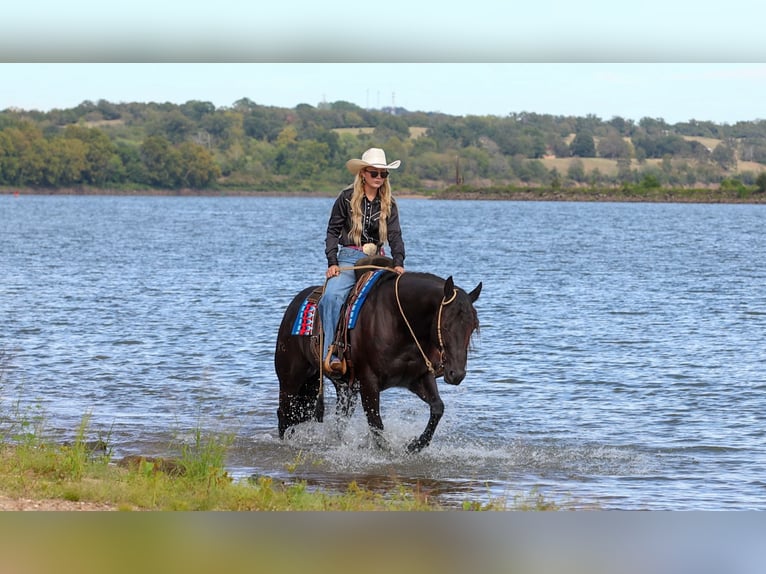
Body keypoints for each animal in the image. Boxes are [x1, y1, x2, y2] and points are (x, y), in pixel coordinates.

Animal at [274, 259, 481, 453]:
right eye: (445, 326)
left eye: (472, 327)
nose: (456, 374)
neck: (399, 322)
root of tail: (293, 307)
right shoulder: (369, 383)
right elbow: (376, 425)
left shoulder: (419, 377)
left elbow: (437, 408)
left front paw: (414, 445)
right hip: (290, 381)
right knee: (284, 414)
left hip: (343, 388)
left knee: (338, 420)